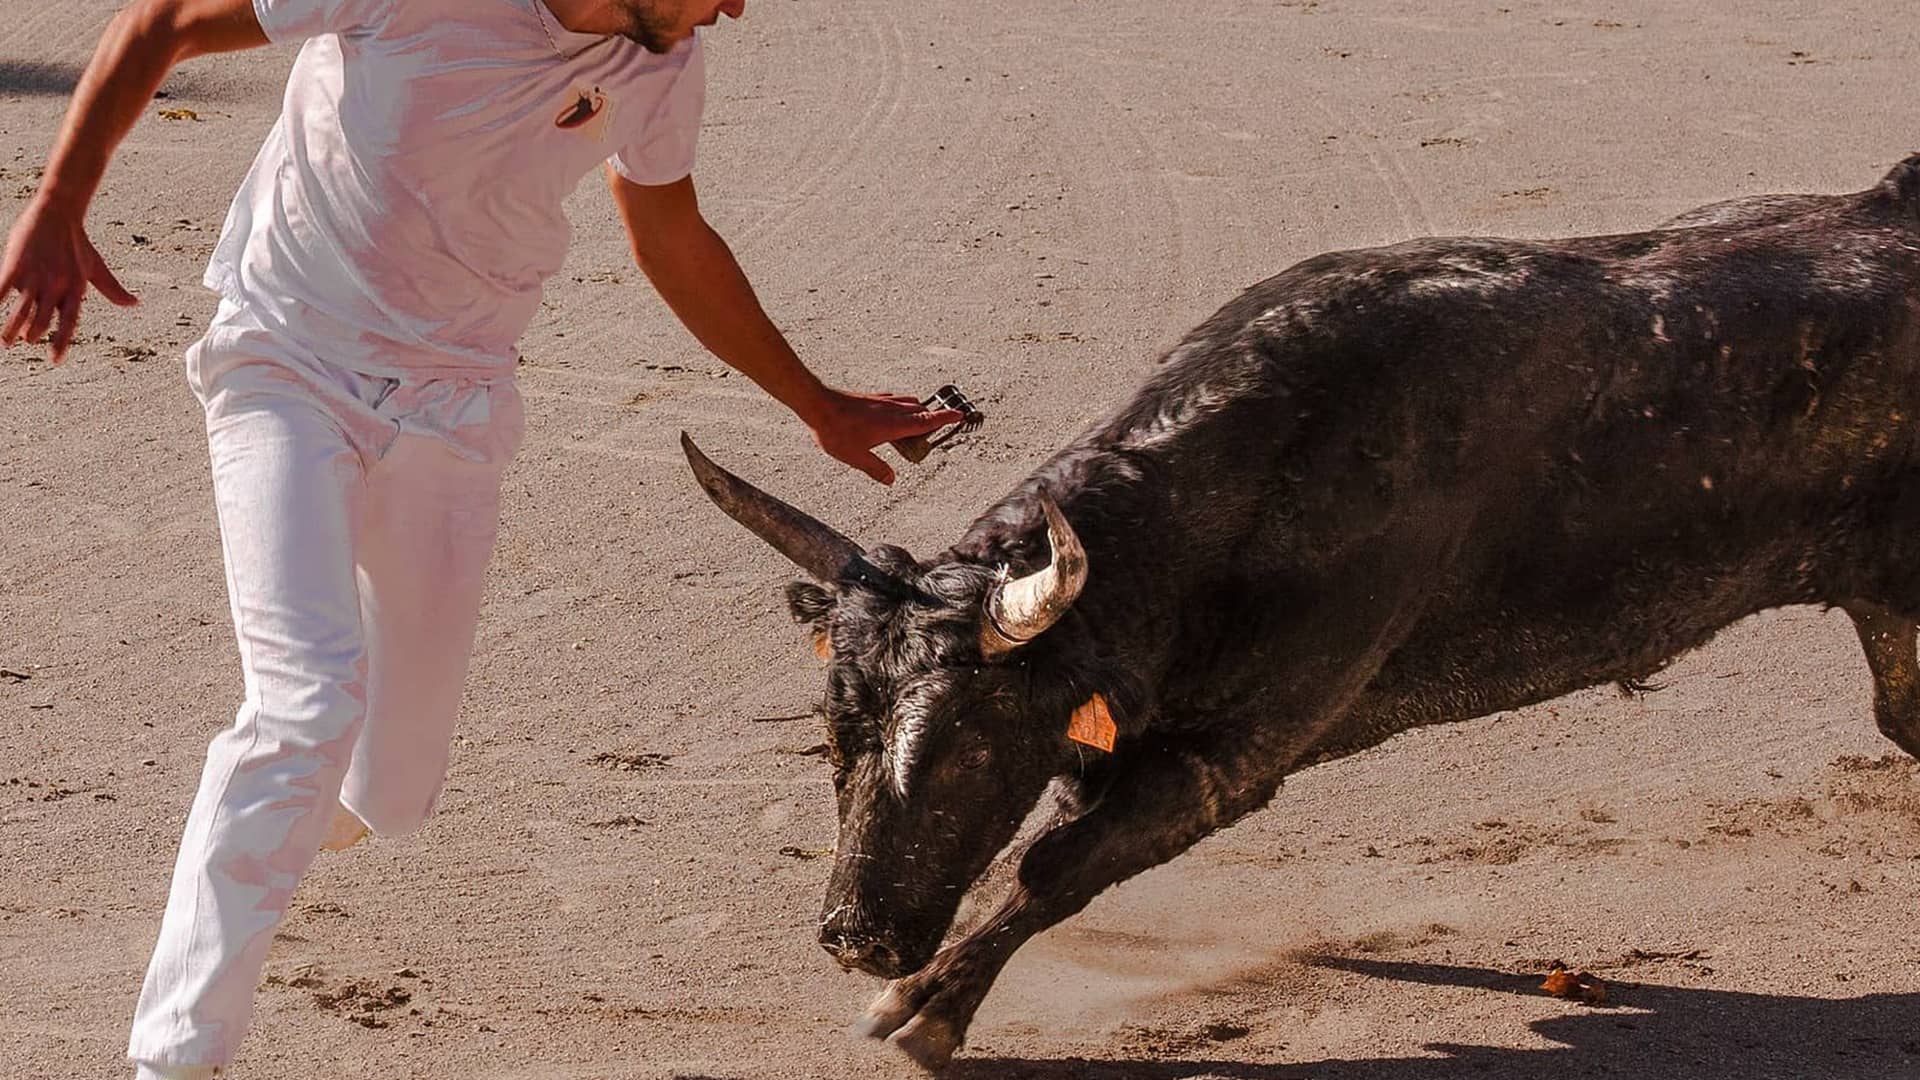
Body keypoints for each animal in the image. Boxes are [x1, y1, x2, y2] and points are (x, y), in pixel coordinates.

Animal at [675, 157, 1920, 1068]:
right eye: (835, 733)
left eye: (971, 742)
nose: (855, 938)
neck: (1245, 486)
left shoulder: (1236, 753)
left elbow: (1056, 866)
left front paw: (925, 1011)